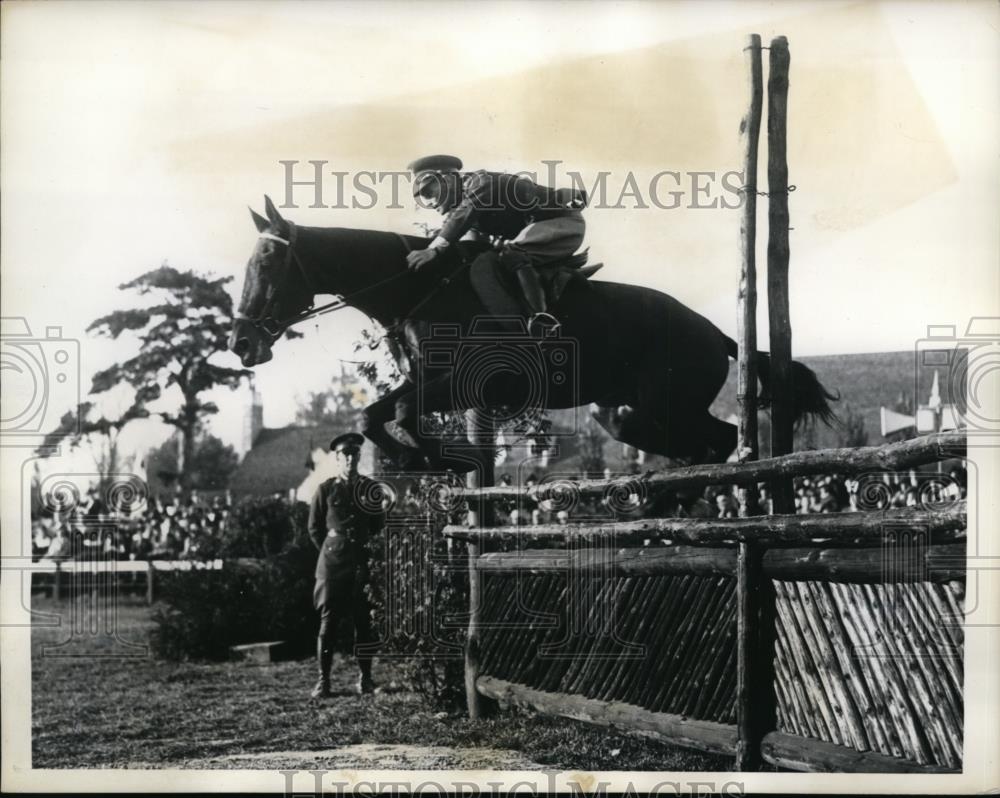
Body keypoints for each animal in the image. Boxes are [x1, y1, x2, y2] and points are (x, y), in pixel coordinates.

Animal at [229, 199, 836, 472]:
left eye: (268, 264)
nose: (241, 344)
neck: (417, 288)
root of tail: (716, 333)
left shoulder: (454, 382)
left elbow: (389, 413)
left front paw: (446, 459)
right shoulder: (430, 383)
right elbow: (375, 415)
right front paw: (436, 460)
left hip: (667, 398)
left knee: (718, 436)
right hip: (625, 410)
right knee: (686, 439)